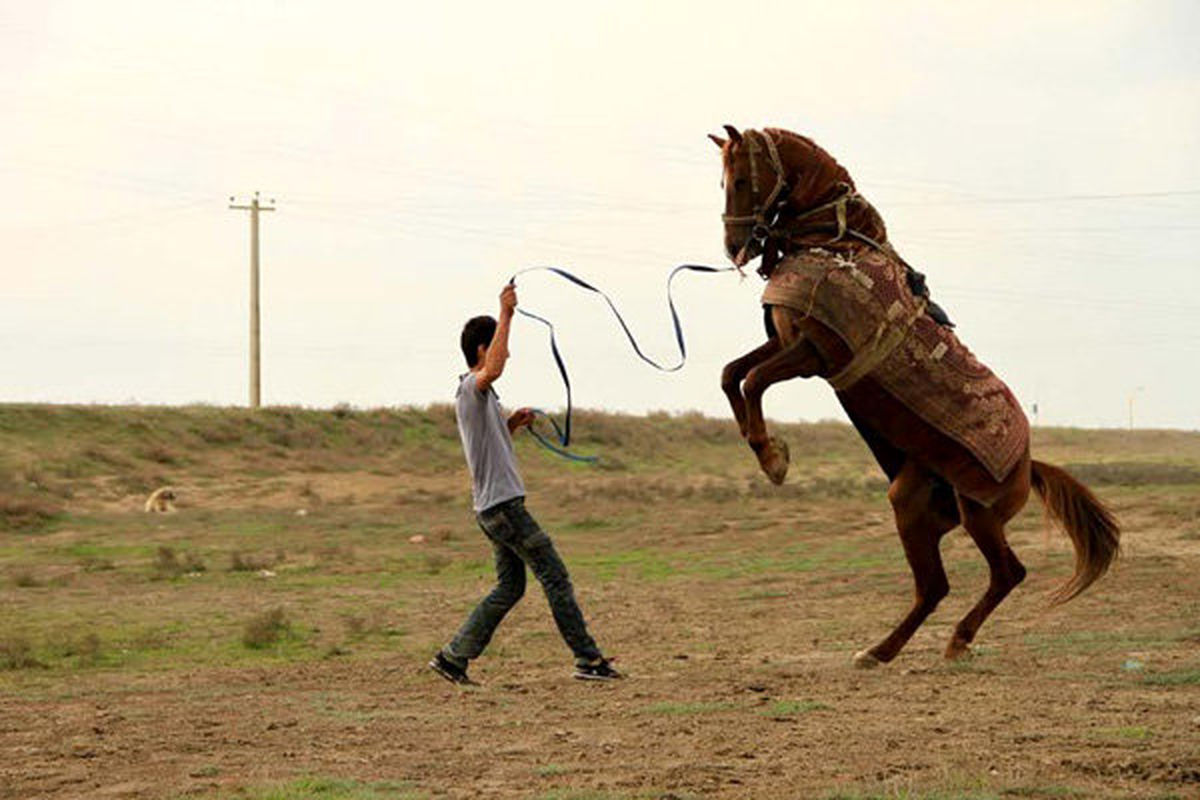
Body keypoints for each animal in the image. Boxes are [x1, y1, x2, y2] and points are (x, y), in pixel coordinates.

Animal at [710, 125, 1113, 671]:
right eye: (723, 181)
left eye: (743, 180)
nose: (736, 247)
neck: (833, 240)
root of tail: (1028, 466)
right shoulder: (786, 342)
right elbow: (732, 375)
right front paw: (767, 449)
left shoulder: (812, 353)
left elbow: (752, 381)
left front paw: (773, 458)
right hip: (917, 504)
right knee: (938, 587)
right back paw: (885, 650)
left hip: (977, 513)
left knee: (1001, 574)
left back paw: (940, 643)